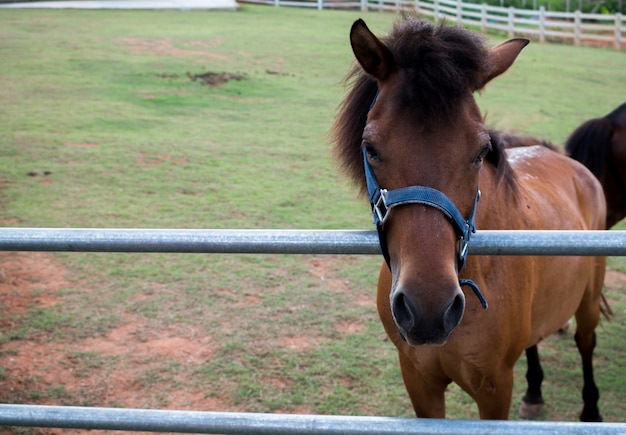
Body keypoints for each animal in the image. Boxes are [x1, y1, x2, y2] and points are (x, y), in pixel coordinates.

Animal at [332, 17, 604, 422]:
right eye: (371, 149)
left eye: (480, 152)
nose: (428, 309)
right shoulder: (419, 380)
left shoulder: (494, 387)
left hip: (589, 299)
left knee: (585, 342)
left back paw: (591, 411)